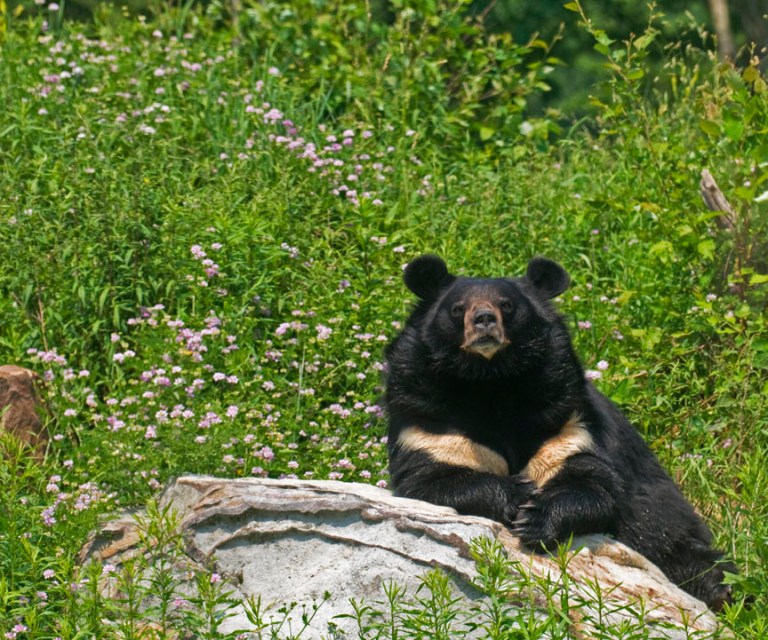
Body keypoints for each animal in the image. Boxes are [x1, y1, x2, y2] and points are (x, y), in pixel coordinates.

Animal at [384, 254, 735, 611]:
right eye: (458, 309)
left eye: (506, 305)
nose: (484, 320)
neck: (491, 379)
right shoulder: (429, 422)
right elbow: (432, 480)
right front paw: (518, 495)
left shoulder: (563, 421)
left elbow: (592, 483)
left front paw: (535, 518)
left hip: (671, 529)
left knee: (690, 555)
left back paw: (721, 593)